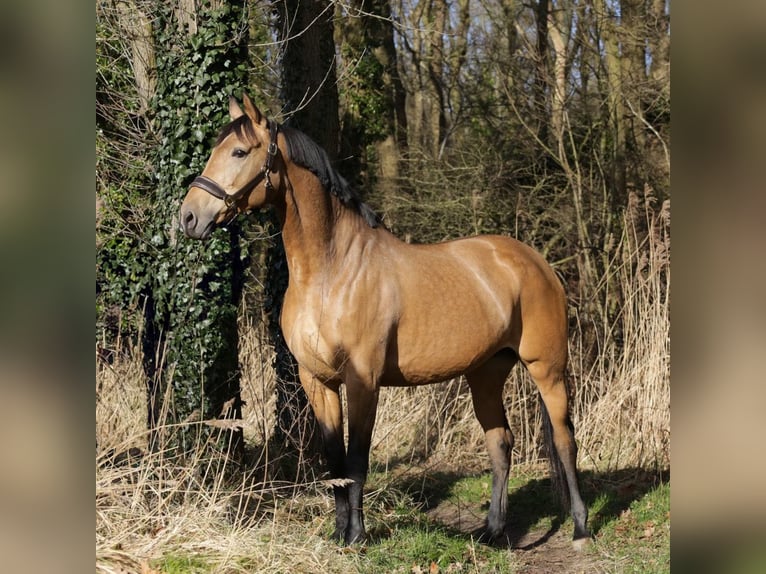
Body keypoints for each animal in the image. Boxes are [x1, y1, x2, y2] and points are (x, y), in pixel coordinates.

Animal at [180, 92, 592, 552]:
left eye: (238, 151)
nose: (189, 217)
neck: (332, 272)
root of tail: (538, 263)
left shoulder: (364, 380)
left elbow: (357, 460)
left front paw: (357, 536)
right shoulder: (316, 381)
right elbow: (334, 462)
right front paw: (339, 534)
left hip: (547, 368)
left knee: (565, 440)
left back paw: (580, 529)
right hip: (485, 373)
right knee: (500, 442)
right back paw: (492, 532)